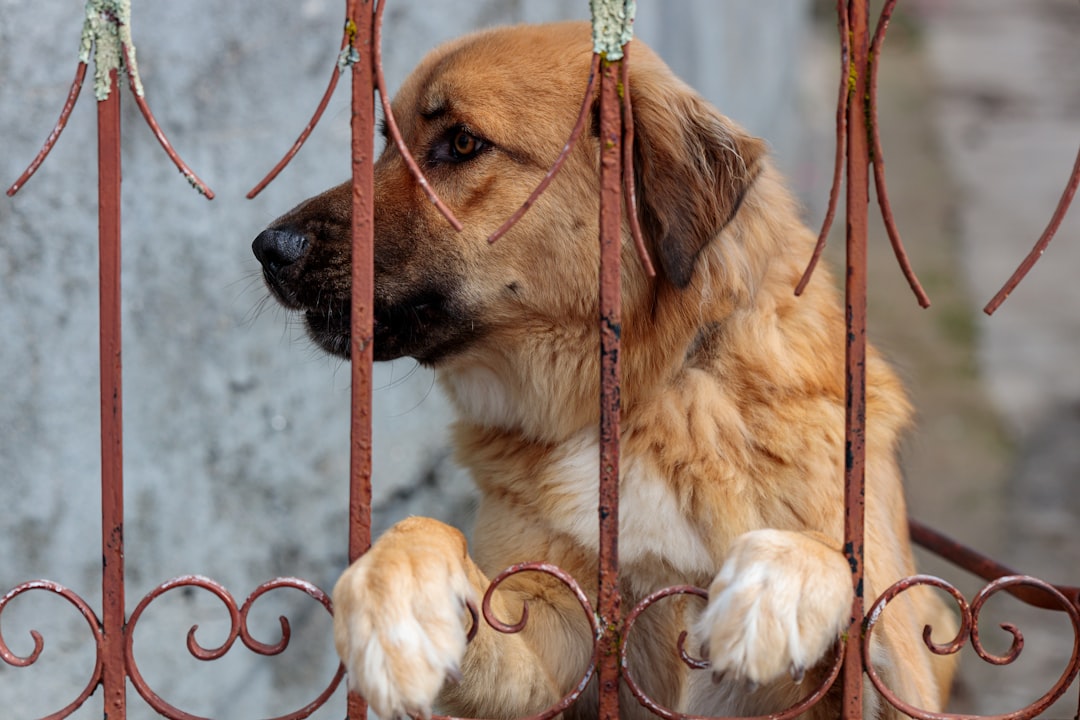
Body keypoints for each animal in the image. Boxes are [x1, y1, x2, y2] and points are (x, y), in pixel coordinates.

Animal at [250, 21, 954, 720]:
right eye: (385, 143)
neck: (652, 397)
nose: (267, 248)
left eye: (463, 142)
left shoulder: (903, 671)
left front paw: (775, 583)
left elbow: (838, 562)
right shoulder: (552, 651)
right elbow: (422, 530)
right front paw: (395, 599)